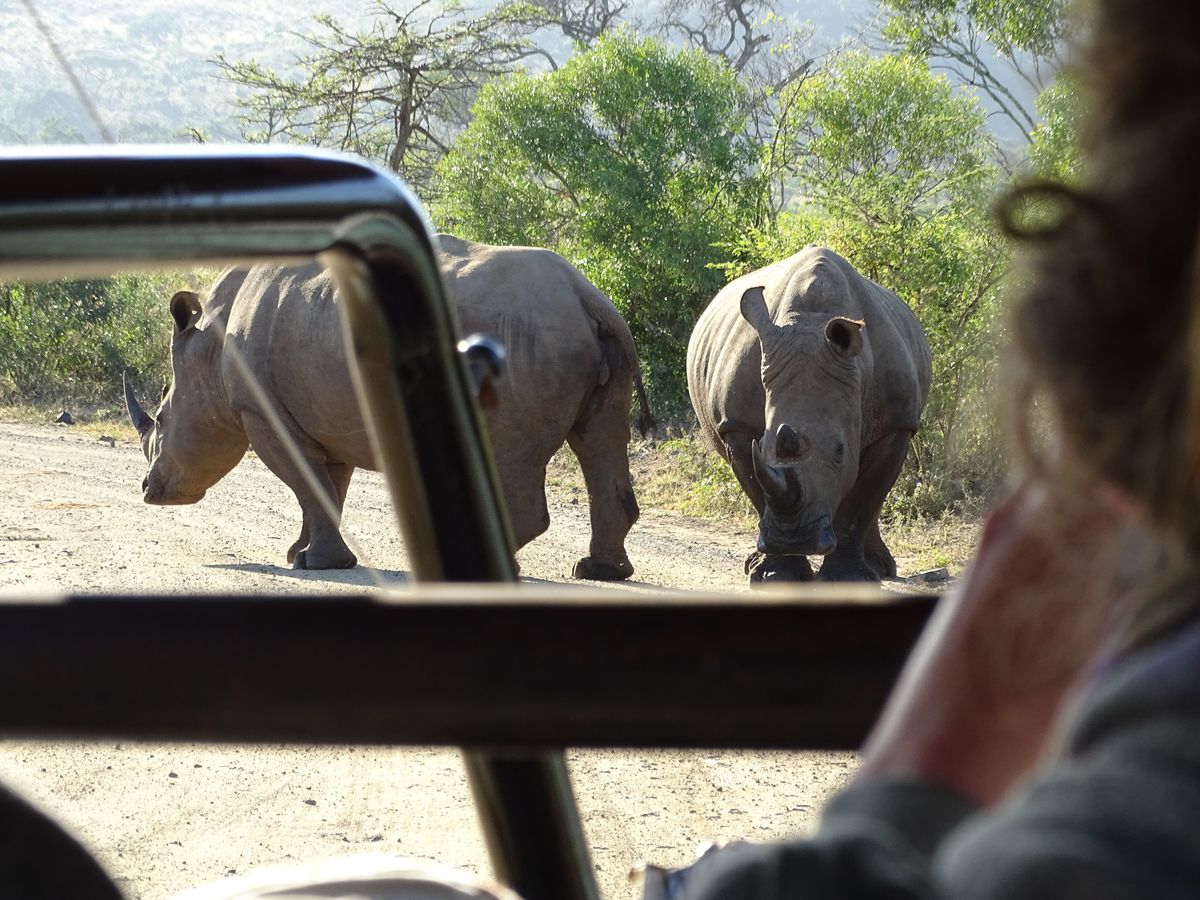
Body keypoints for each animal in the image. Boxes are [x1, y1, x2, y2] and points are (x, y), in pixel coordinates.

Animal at [124, 234, 653, 579]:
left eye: (162, 420)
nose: (149, 490)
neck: (207, 349)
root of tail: (586, 296)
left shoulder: (260, 409)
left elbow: (307, 482)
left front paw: (315, 564)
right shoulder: (320, 411)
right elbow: (327, 486)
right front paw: (304, 556)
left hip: (526, 340)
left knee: (515, 457)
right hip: (578, 338)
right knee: (600, 441)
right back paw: (599, 572)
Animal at [687, 246, 931, 583]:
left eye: (840, 452)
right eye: (762, 445)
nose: (794, 538)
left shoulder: (897, 423)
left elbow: (862, 500)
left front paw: (848, 580)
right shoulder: (736, 424)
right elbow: (758, 487)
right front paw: (777, 575)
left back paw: (879, 568)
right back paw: (755, 564)